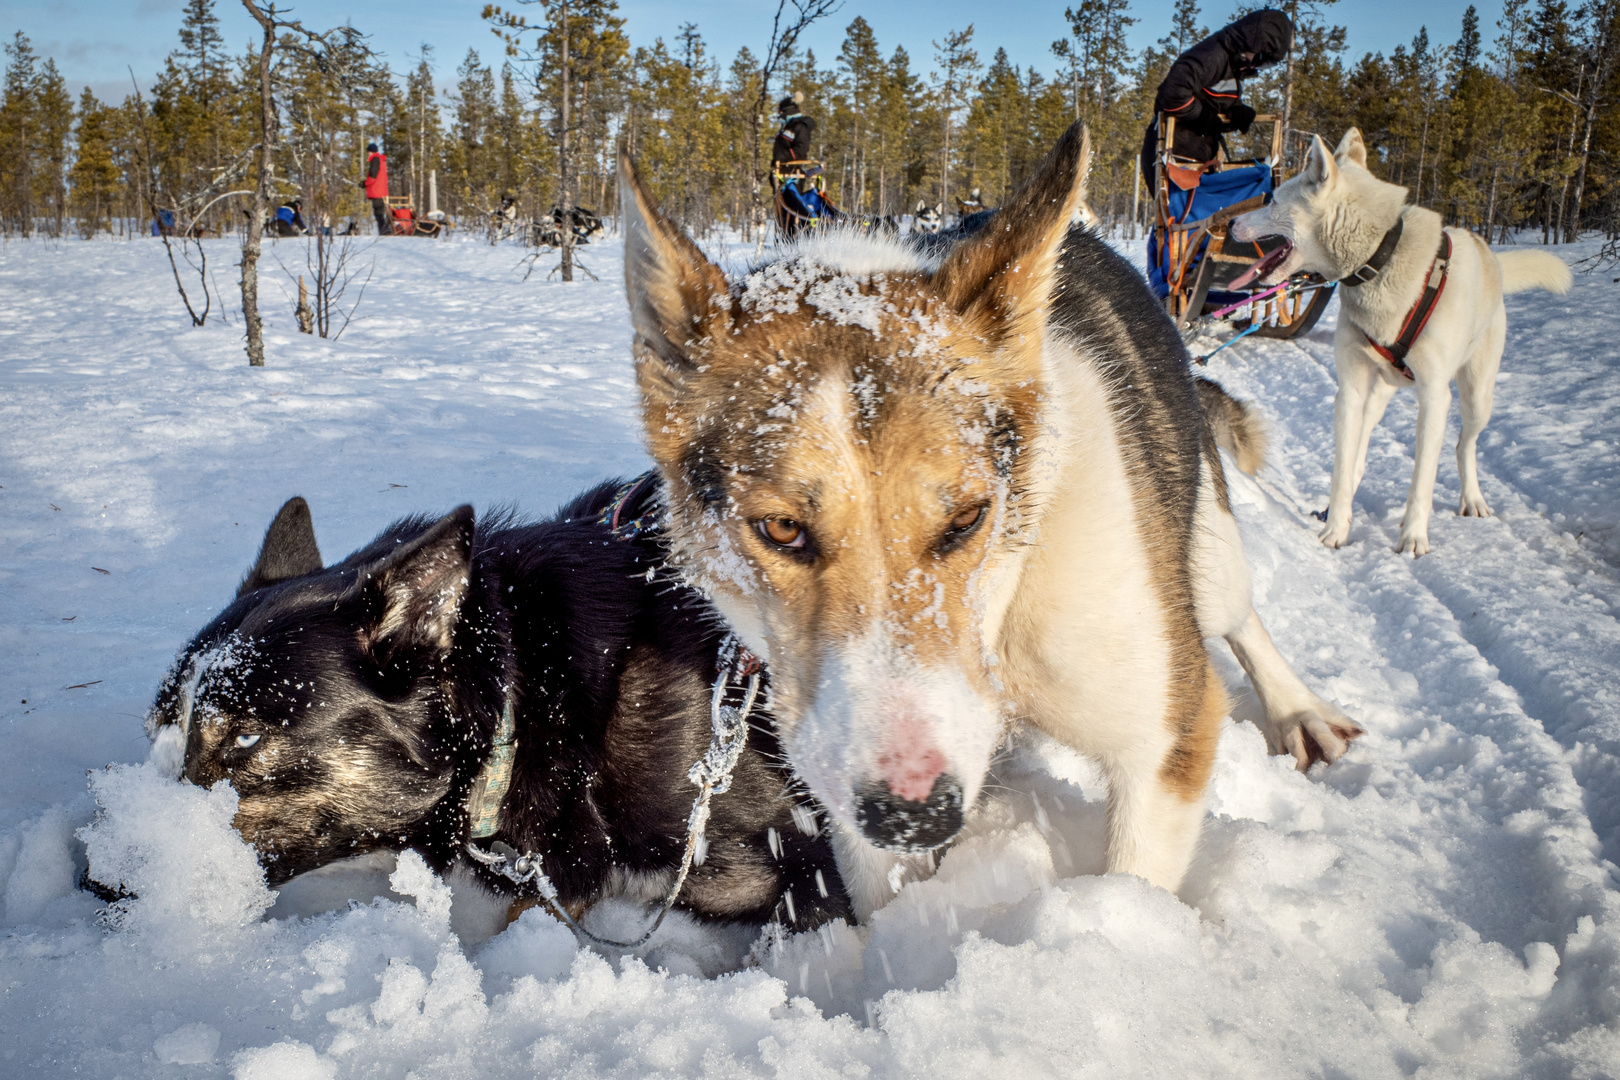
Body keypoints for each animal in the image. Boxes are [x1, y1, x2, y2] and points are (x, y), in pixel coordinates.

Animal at [612, 127, 1360, 919]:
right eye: (783, 530)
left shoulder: (1164, 739)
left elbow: (1133, 889)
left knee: (1242, 616)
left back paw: (1300, 710)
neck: (1000, 616)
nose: (914, 812)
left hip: (1206, 562)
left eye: (968, 517)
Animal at [1231, 128, 1574, 557]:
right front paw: (1335, 529)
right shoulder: (1351, 390)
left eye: (1275, 200)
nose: (1231, 221)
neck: (1382, 257)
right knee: (1360, 454)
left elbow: (1422, 478)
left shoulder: (1435, 396)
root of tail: (1491, 258)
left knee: (1464, 444)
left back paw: (1472, 498)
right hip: (1377, 394)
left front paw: (1413, 536)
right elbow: (1342, 467)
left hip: (1477, 396)